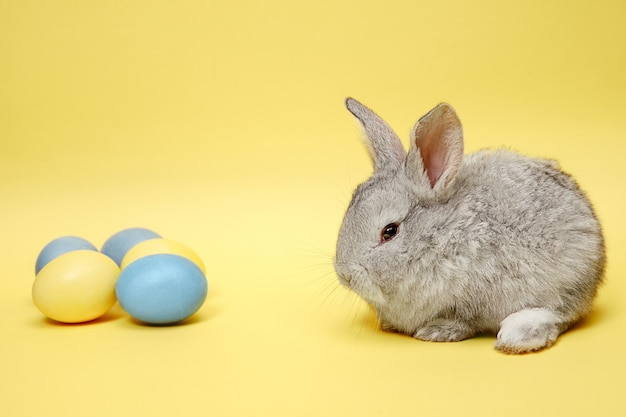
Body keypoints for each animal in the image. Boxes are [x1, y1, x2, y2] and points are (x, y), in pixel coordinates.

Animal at [334, 96, 604, 352]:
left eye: (390, 231)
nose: (345, 275)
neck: (440, 236)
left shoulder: (475, 297)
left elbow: (464, 320)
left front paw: (437, 331)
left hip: (567, 278)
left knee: (561, 314)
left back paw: (517, 337)